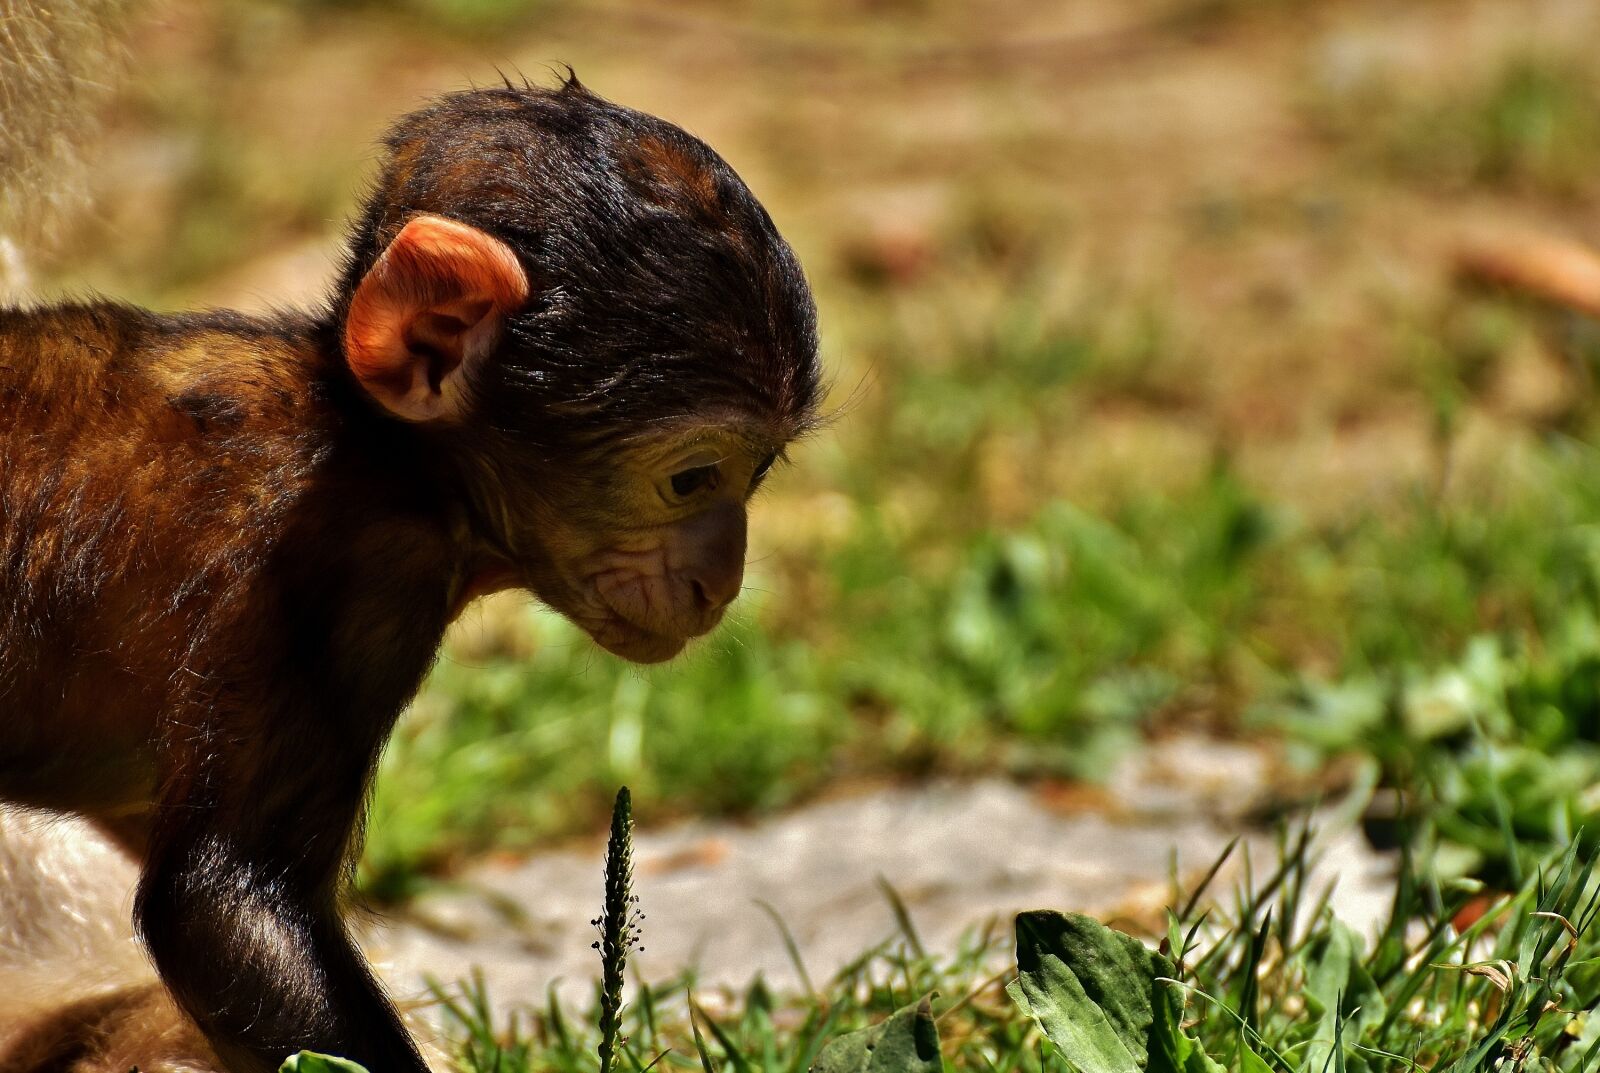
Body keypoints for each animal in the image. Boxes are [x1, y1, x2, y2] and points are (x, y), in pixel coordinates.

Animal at [0, 75, 823, 1073]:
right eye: (692, 477)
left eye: (758, 472)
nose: (721, 579)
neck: (371, 442)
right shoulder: (351, 576)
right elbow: (216, 907)